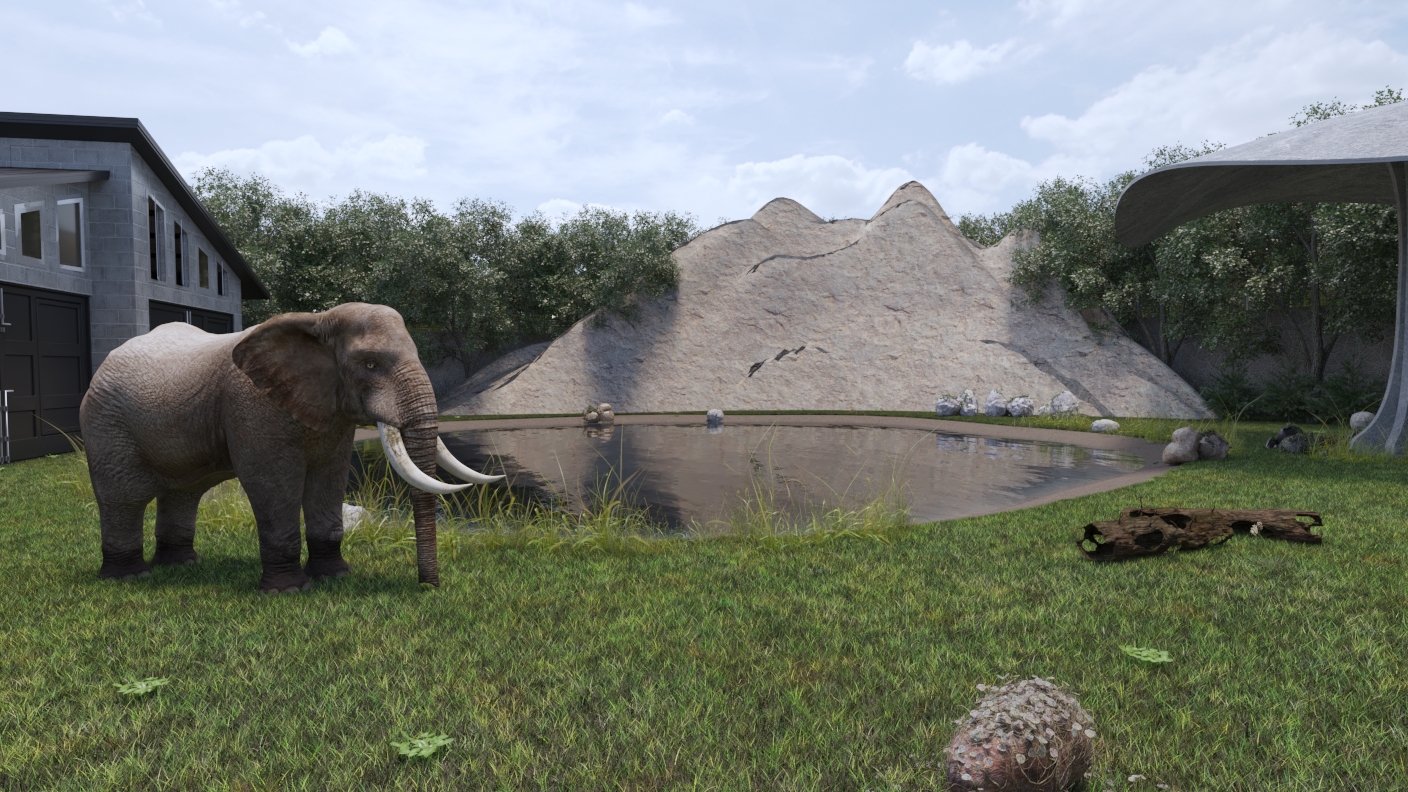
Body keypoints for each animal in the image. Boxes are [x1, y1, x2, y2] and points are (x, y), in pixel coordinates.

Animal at [79, 302, 501, 593]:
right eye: (369, 364)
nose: (428, 587)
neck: (318, 319)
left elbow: (329, 481)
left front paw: (335, 577)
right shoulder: (253, 405)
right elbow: (275, 484)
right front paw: (289, 590)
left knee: (184, 493)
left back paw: (181, 566)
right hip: (105, 423)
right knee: (125, 496)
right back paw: (128, 576)